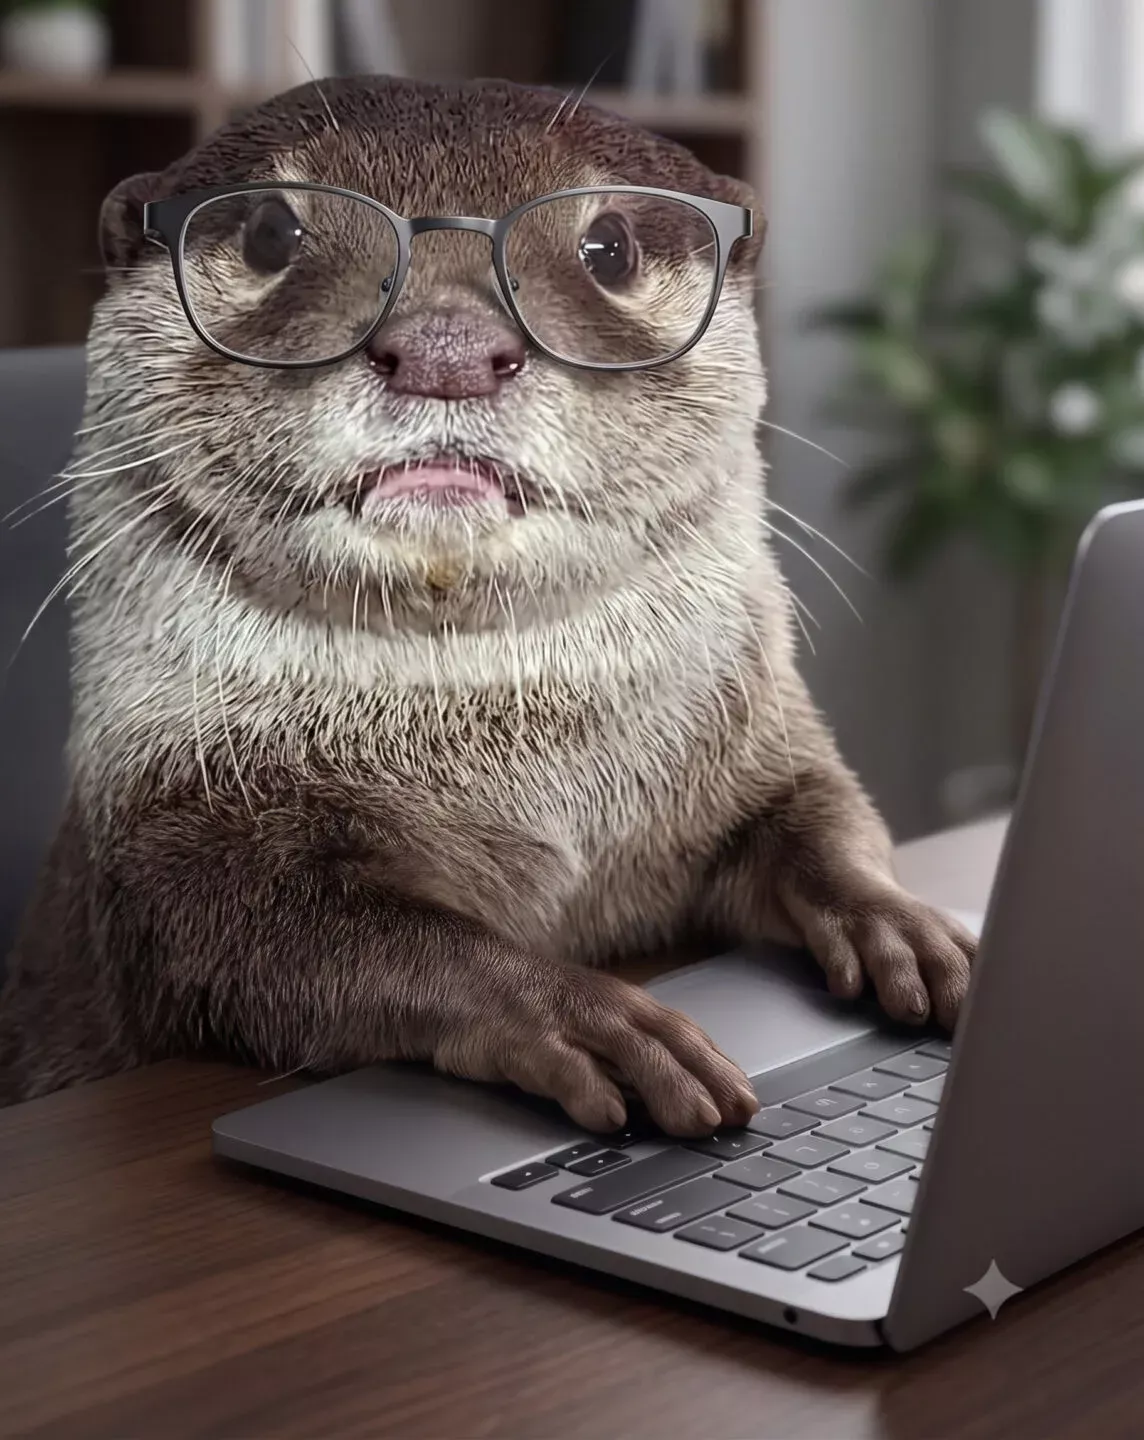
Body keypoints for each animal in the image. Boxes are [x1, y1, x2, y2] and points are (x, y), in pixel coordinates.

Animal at [0, 76, 974, 1133]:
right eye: (269, 230)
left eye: (610, 246)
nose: (447, 348)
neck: (523, 768)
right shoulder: (164, 844)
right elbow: (332, 939)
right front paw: (586, 1014)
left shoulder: (764, 736)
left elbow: (828, 815)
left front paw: (907, 925)